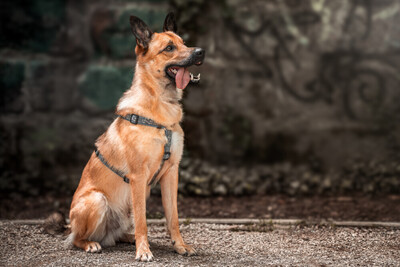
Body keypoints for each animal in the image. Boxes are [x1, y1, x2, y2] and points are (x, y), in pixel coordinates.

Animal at [67, 12, 205, 262]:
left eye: (183, 42)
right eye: (169, 47)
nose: (201, 51)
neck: (159, 101)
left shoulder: (171, 173)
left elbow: (173, 217)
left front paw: (180, 245)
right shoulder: (139, 177)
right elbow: (143, 221)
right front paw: (144, 251)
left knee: (115, 235)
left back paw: (127, 238)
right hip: (97, 200)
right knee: (75, 238)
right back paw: (91, 243)